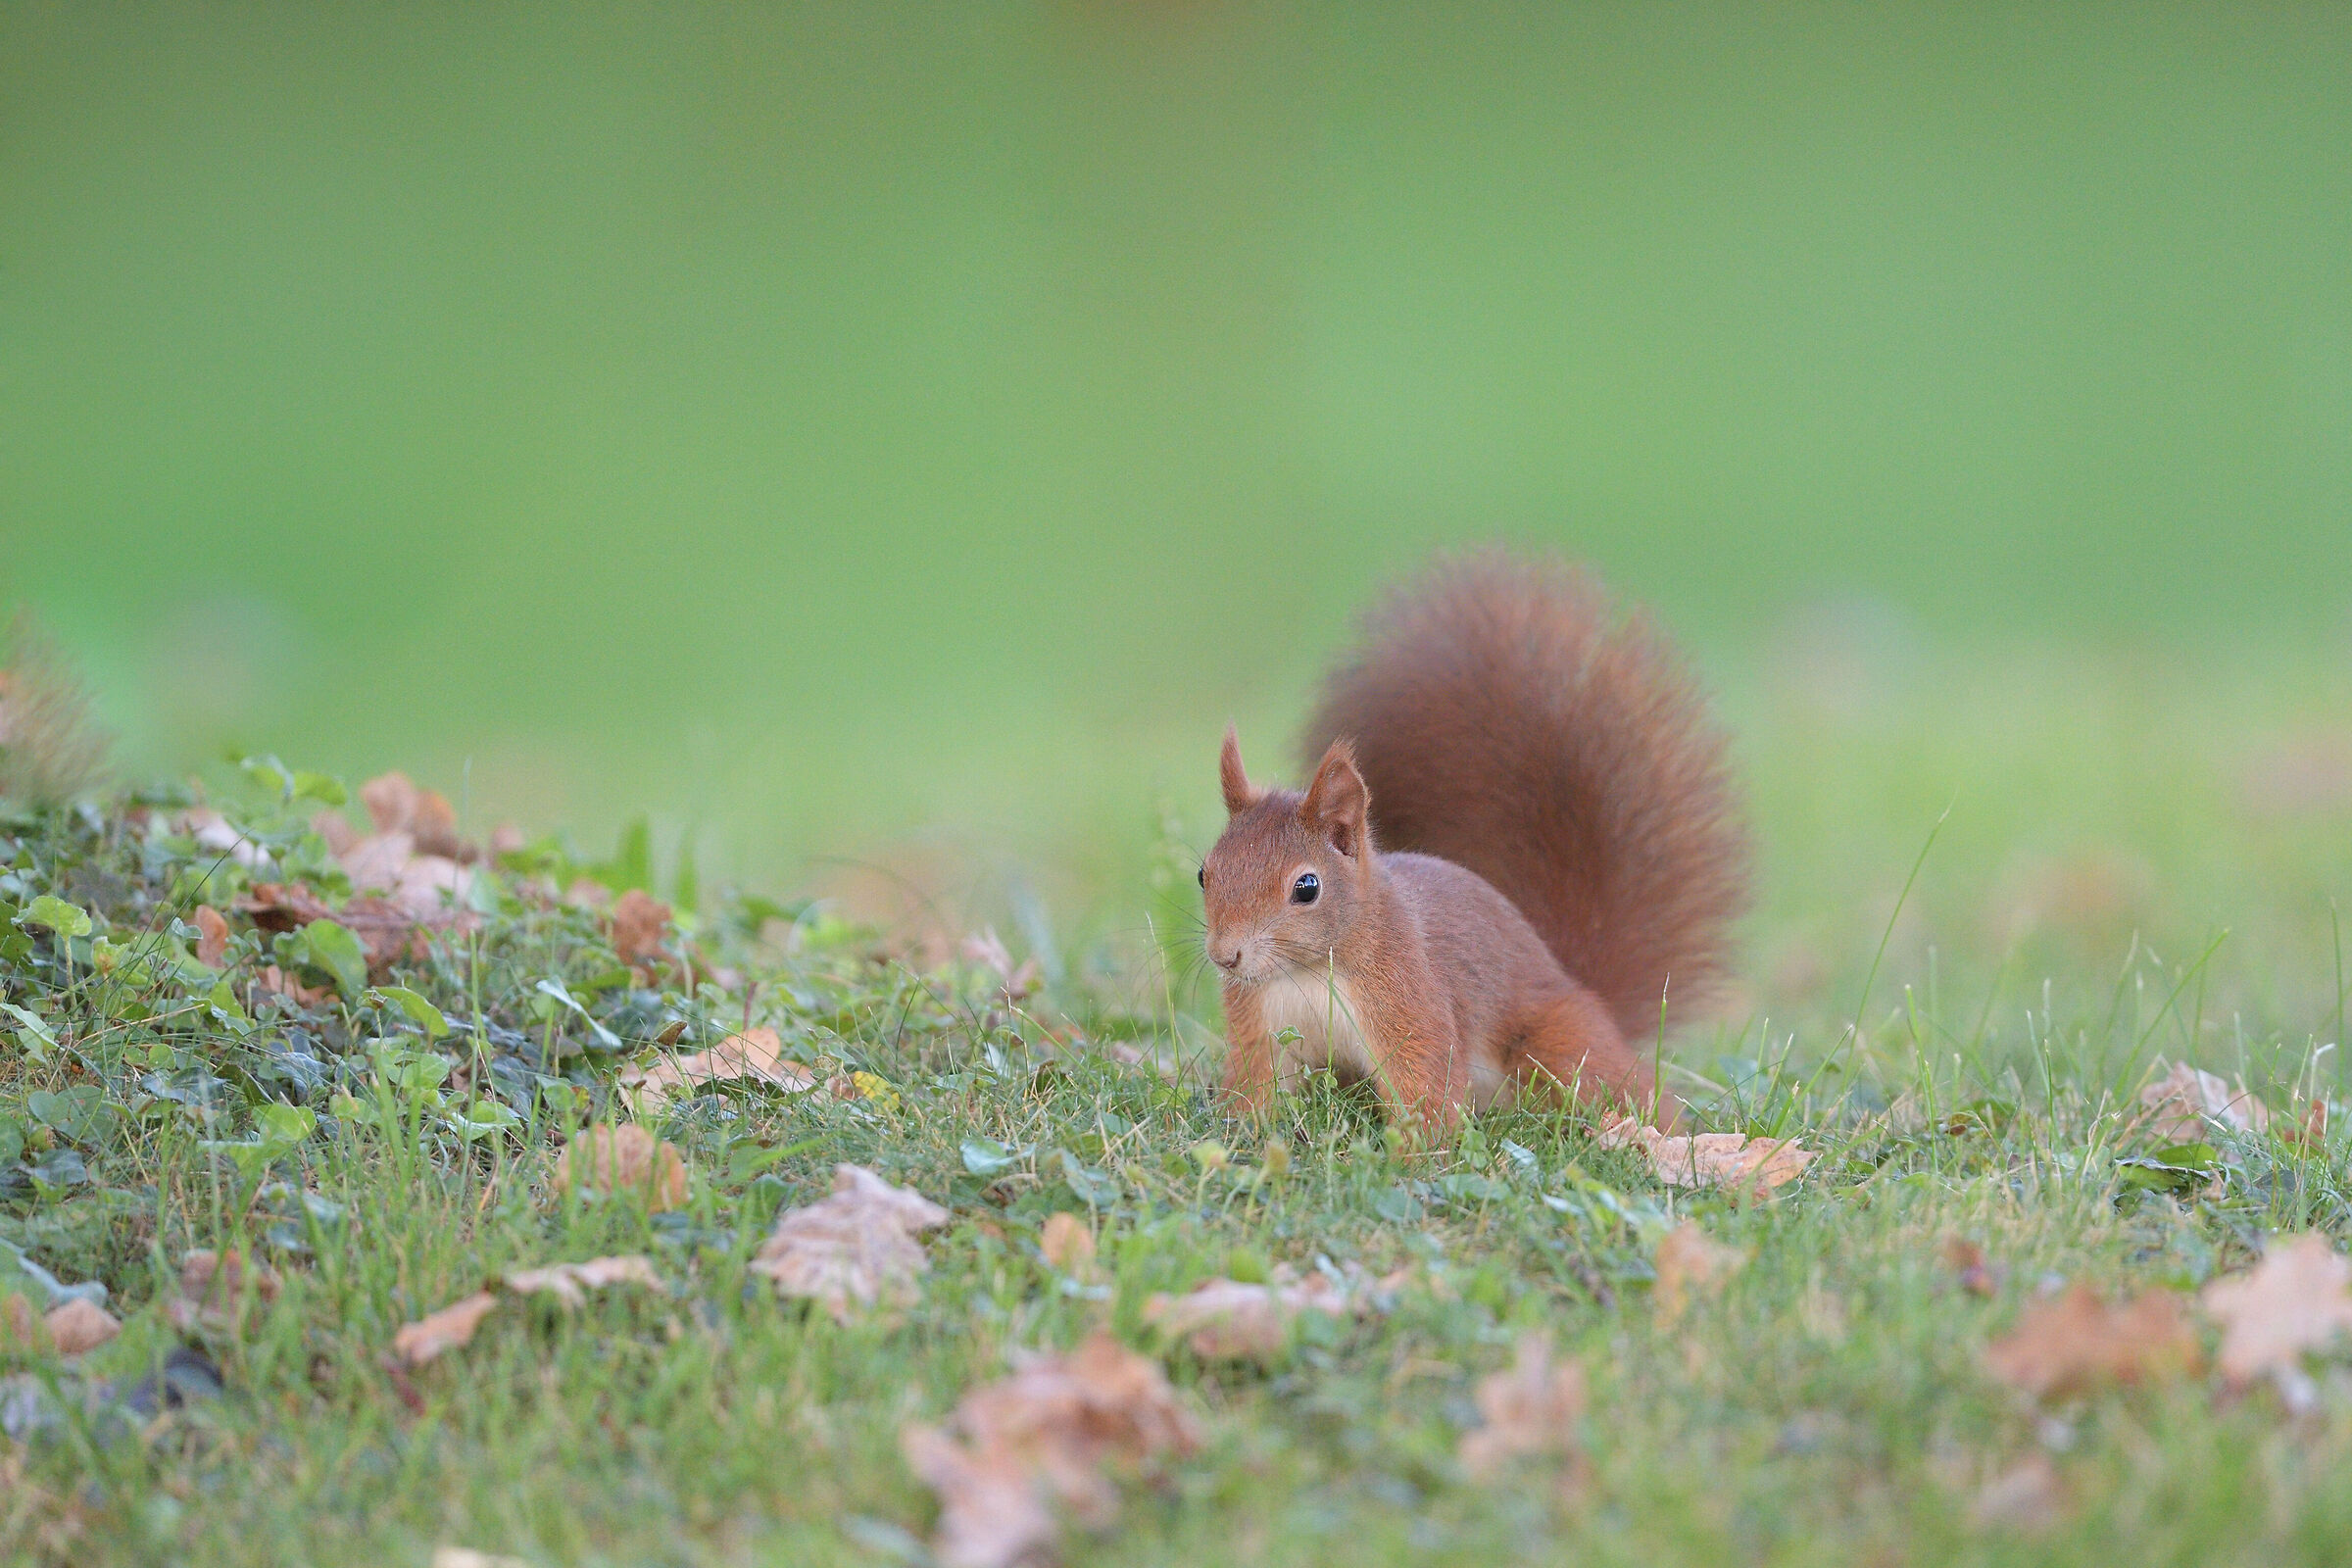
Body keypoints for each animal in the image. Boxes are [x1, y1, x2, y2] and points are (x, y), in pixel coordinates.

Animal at [1199, 550, 1749, 1138]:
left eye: (1306, 887)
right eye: (1204, 874)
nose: (1225, 957)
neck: (1305, 971)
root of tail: (1572, 978)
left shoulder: (1412, 999)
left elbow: (1425, 1080)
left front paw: (1415, 1152)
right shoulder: (1259, 1022)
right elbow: (1256, 1082)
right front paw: (1239, 1131)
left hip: (1560, 1045)